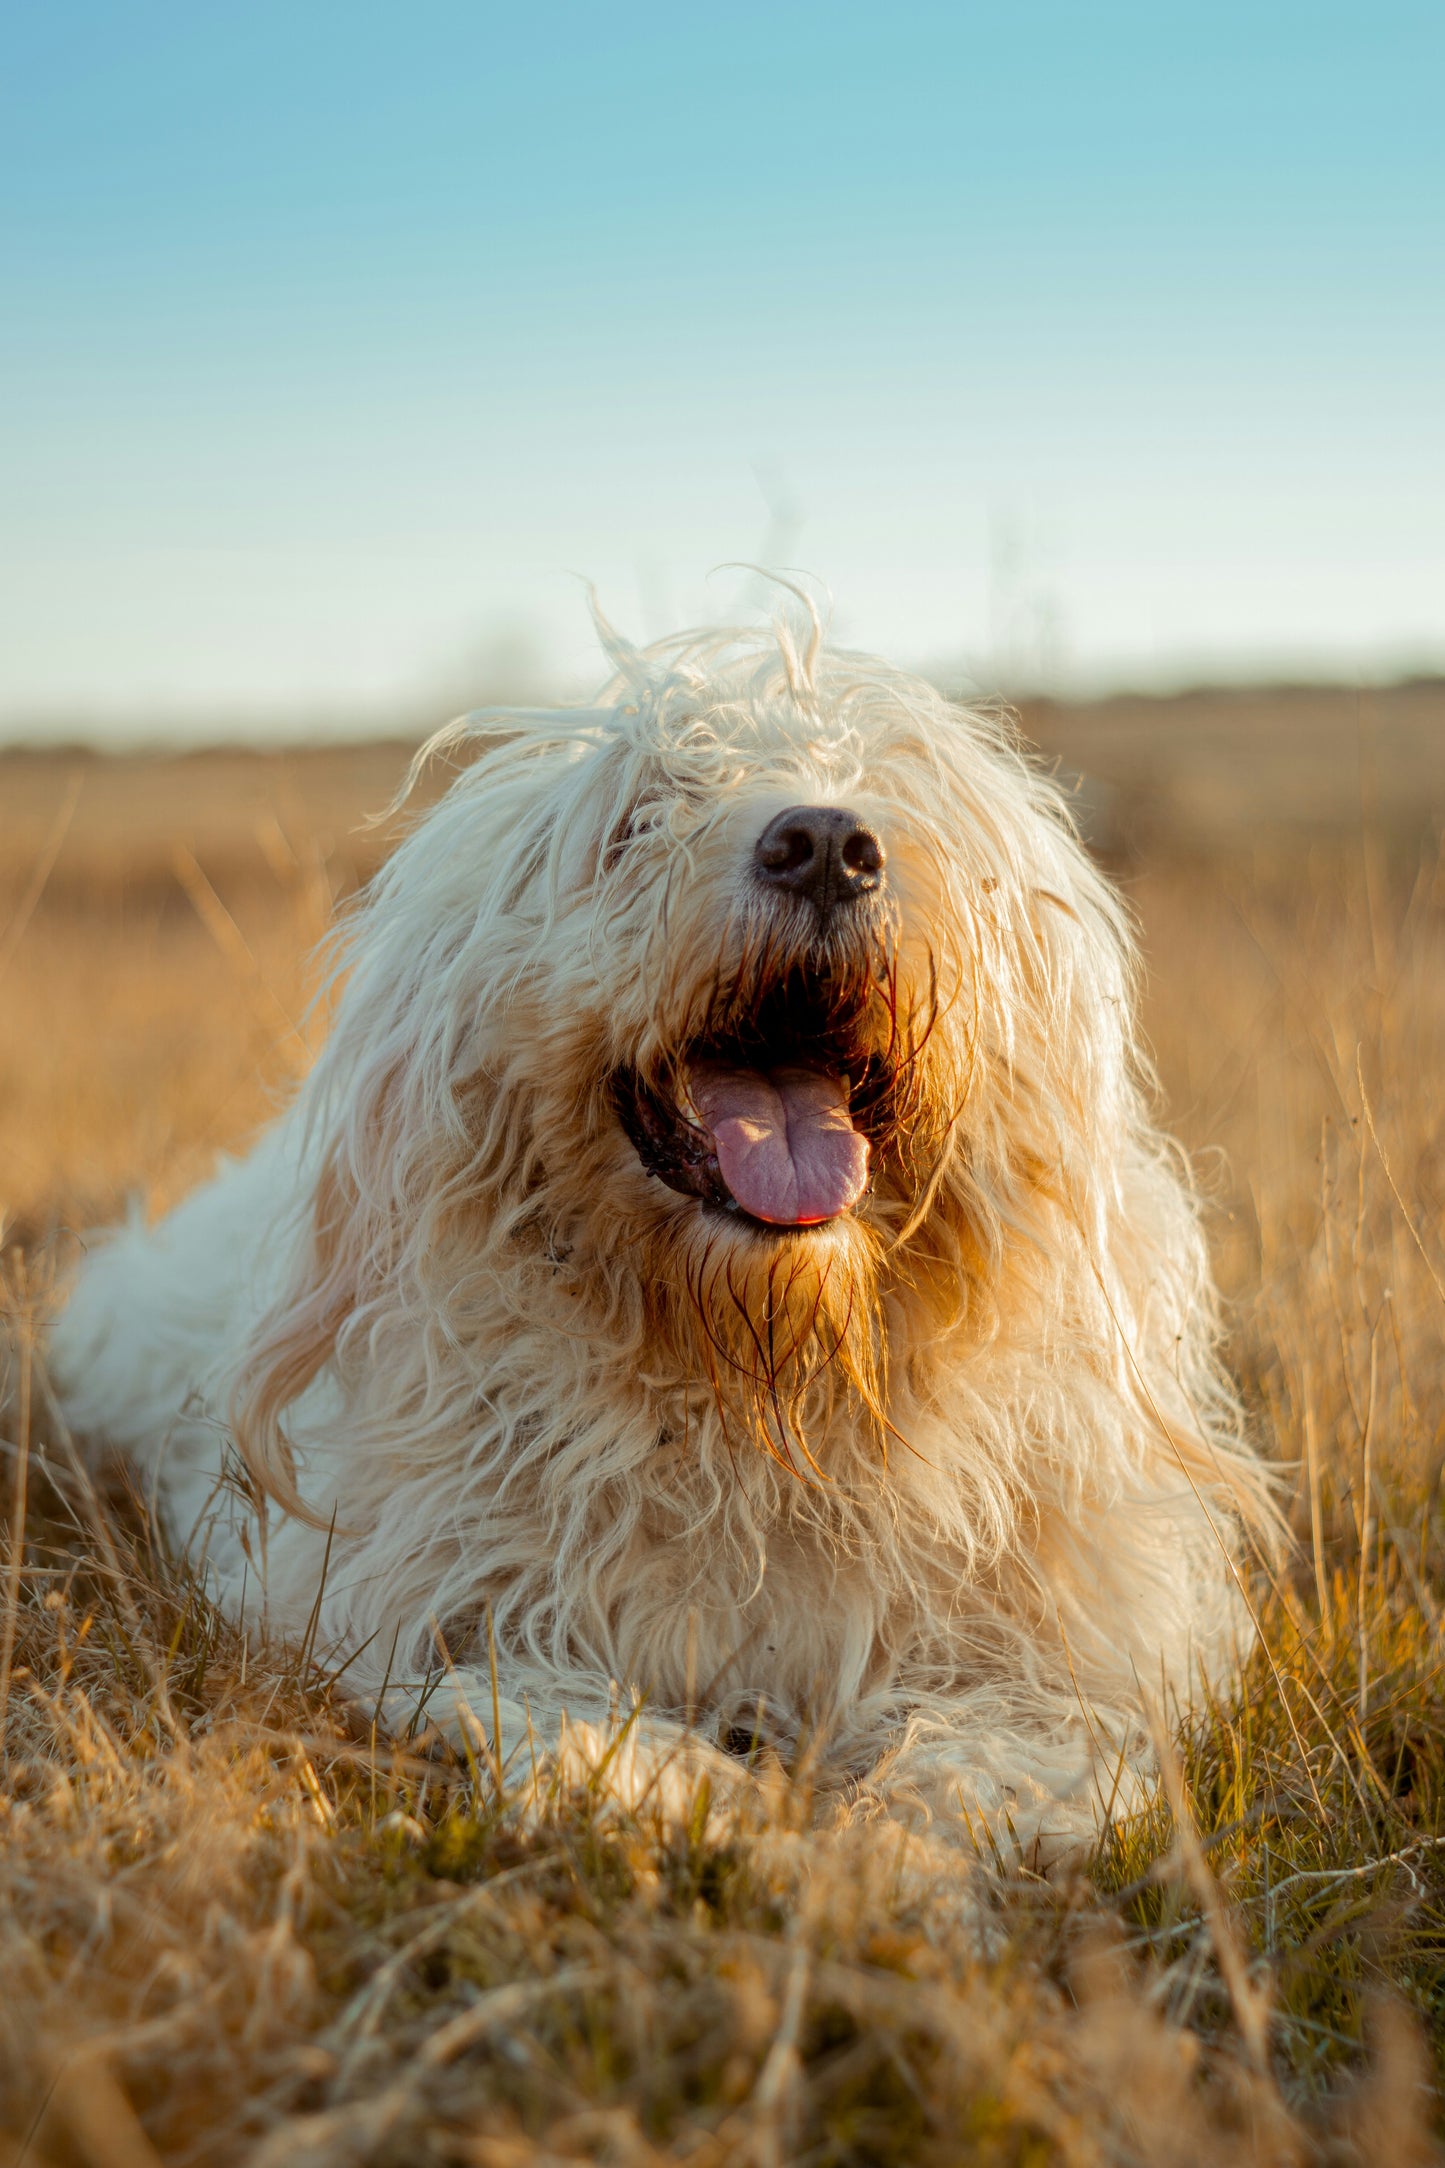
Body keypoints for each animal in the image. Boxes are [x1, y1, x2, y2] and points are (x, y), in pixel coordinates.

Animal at [47, 602, 1265, 1855]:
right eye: (637, 817)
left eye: (890, 792)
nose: (823, 844)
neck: (761, 1390)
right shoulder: (424, 1600)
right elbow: (550, 1700)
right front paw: (693, 1799)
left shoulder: (1054, 1653)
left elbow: (990, 1753)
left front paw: (888, 1849)